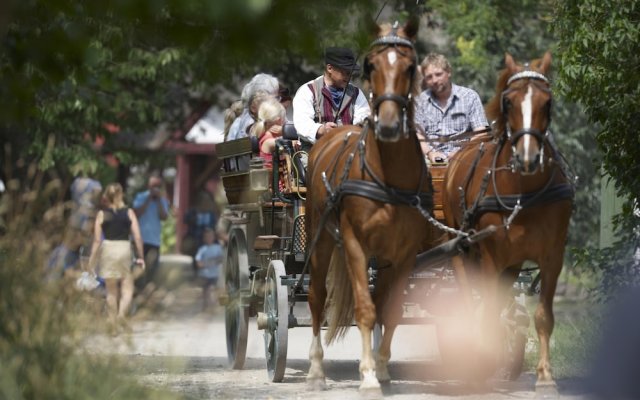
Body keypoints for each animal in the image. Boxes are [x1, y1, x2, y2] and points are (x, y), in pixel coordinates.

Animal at [304, 18, 436, 390]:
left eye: (410, 66)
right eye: (371, 65)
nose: (389, 125)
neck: (388, 179)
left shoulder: (404, 255)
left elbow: (389, 310)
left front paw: (381, 368)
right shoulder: (354, 245)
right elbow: (365, 308)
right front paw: (367, 378)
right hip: (321, 240)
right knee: (316, 297)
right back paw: (316, 370)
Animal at [442, 52, 572, 388]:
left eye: (547, 102)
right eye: (509, 101)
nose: (527, 157)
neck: (523, 191)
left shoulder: (553, 256)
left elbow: (543, 316)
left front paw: (545, 378)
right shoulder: (490, 256)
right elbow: (486, 309)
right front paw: (481, 366)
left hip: (512, 263)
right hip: (461, 250)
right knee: (469, 298)